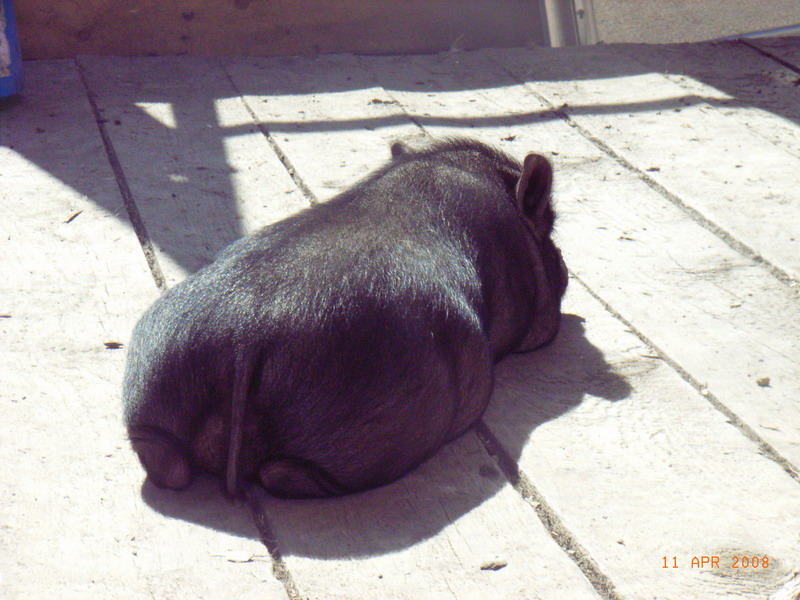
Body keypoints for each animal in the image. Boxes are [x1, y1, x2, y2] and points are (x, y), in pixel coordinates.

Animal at [123, 137, 568, 499]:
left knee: (166, 461)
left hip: (154, 381)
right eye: (550, 232)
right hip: (371, 417)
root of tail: (242, 336)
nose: (564, 268)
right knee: (286, 473)